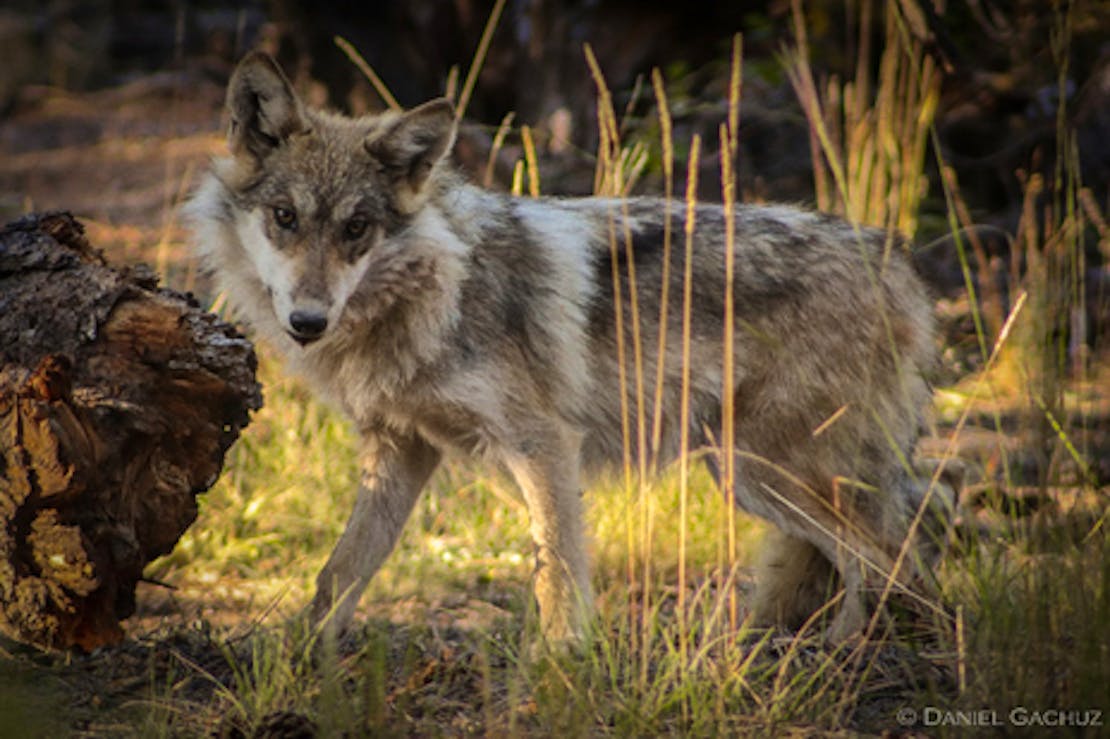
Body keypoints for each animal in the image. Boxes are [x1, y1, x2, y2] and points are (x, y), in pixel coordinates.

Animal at [188, 48, 954, 643]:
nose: (308, 321)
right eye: (285, 217)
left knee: (903, 565)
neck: (434, 293)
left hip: (769, 473)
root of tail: (898, 261)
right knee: (879, 568)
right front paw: (298, 665)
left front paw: (561, 674)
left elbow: (556, 575)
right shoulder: (401, 448)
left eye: (356, 229)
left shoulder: (546, 444)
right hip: (754, 477)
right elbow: (339, 575)